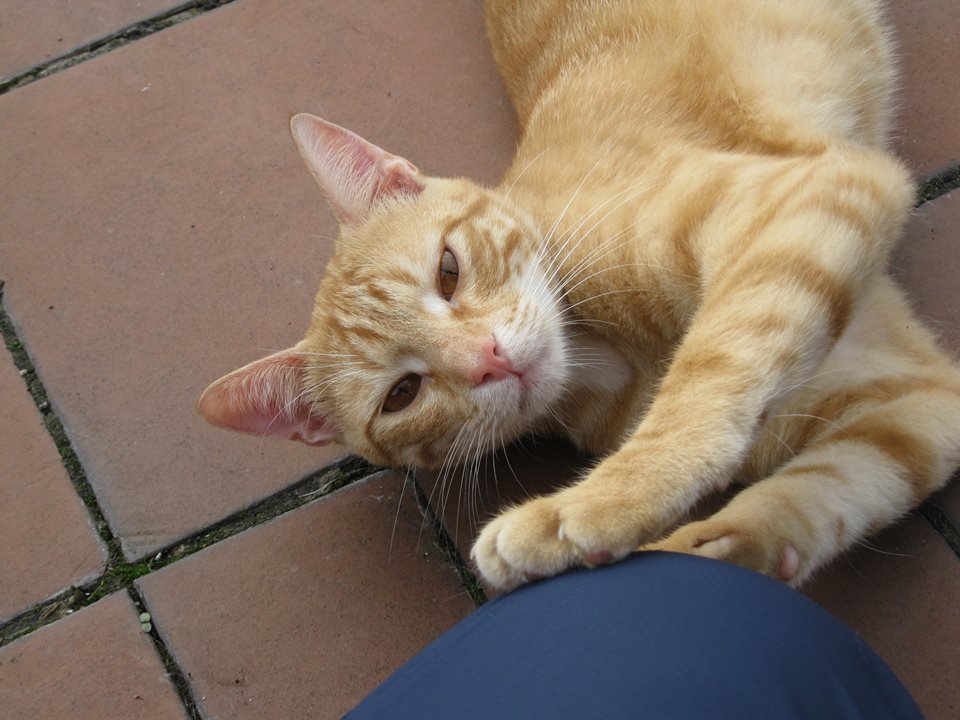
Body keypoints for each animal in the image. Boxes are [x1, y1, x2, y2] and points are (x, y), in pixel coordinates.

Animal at [198, 0, 960, 592]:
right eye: (401, 395)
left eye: (447, 270)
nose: (489, 358)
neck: (608, 358)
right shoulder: (918, 405)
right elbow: (823, 490)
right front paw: (719, 545)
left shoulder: (817, 190)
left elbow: (705, 383)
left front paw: (587, 507)